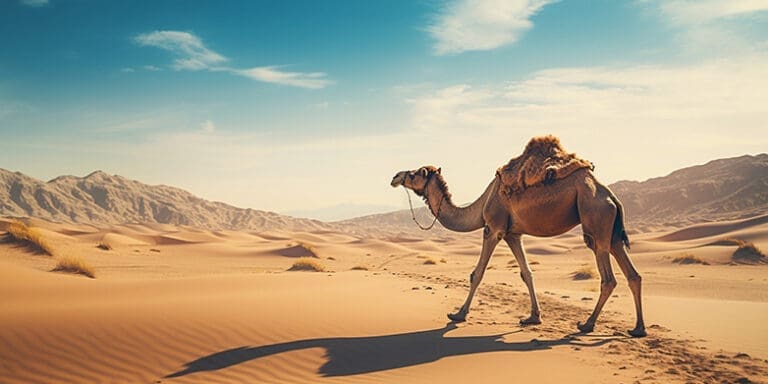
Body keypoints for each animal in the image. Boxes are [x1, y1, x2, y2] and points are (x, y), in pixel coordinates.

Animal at [390, 140, 648, 336]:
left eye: (414, 174)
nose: (395, 176)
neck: (482, 203)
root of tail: (610, 195)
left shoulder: (493, 228)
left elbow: (477, 274)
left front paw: (458, 314)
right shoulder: (513, 234)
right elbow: (527, 273)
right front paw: (533, 317)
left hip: (595, 220)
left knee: (608, 278)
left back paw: (587, 324)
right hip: (611, 231)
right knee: (633, 275)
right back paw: (638, 329)